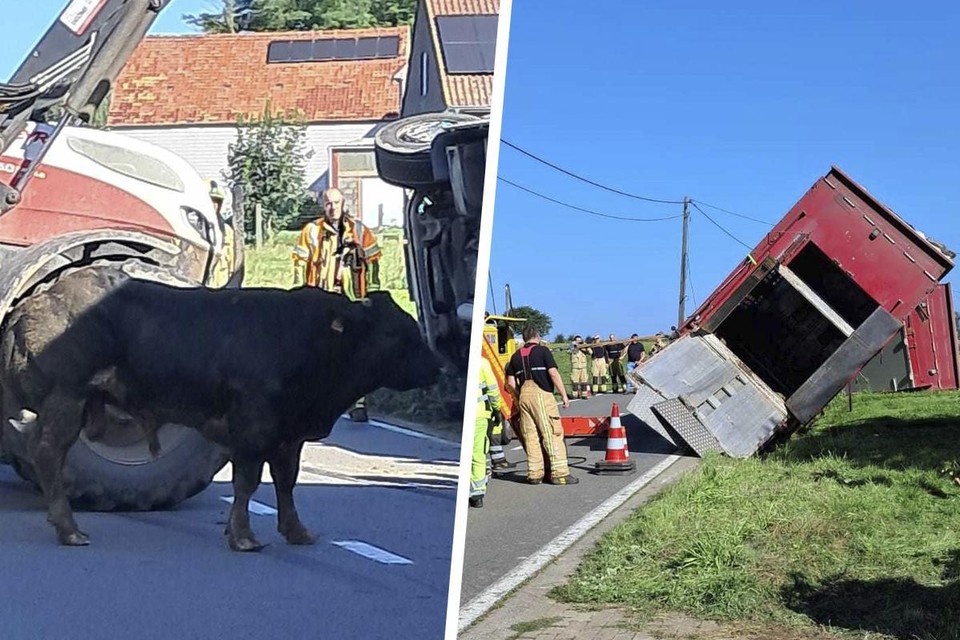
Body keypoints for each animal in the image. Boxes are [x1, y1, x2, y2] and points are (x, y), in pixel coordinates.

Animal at [0, 268, 442, 552]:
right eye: (394, 333)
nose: (437, 366)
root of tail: (36, 301)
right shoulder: (253, 428)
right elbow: (247, 483)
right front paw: (243, 536)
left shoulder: (289, 435)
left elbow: (286, 483)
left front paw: (296, 531)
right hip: (66, 399)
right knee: (48, 454)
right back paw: (69, 529)